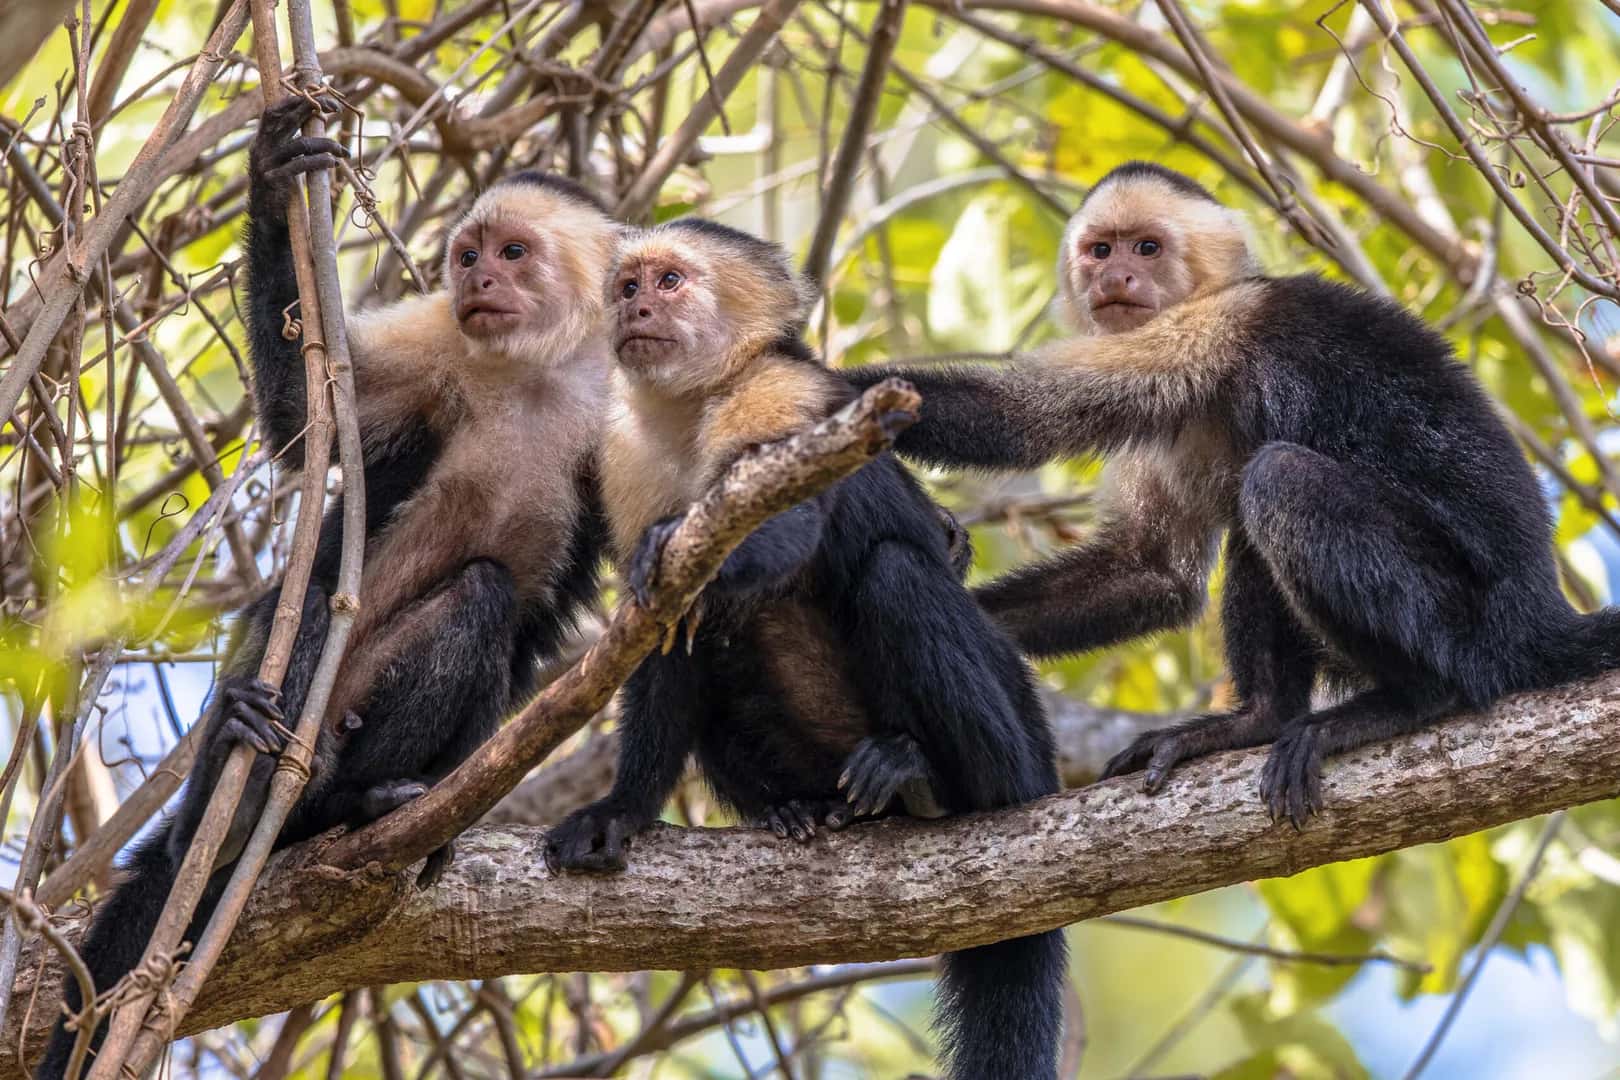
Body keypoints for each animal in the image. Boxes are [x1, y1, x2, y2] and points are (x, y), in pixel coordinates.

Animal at [36, 96, 617, 1079]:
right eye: (469, 254)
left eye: (513, 252)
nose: (478, 280)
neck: (538, 367)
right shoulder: (440, 336)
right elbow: (307, 430)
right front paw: (274, 184)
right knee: (303, 600)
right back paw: (236, 792)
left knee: (487, 604)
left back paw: (359, 809)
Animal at [543, 219, 1067, 1080]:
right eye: (627, 286)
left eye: (670, 281)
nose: (636, 309)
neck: (694, 402)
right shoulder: (622, 449)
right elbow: (659, 636)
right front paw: (623, 810)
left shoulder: (782, 389)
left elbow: (787, 519)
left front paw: (681, 543)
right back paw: (800, 807)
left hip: (1021, 738)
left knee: (897, 575)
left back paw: (940, 780)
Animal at [848, 159, 1620, 827]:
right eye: (1099, 250)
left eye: (1148, 248)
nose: (1117, 275)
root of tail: (1539, 611)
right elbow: (1150, 570)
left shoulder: (1206, 328)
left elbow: (1018, 418)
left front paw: (831, 387)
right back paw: (1261, 720)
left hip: (1471, 620)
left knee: (1278, 480)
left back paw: (1410, 698)